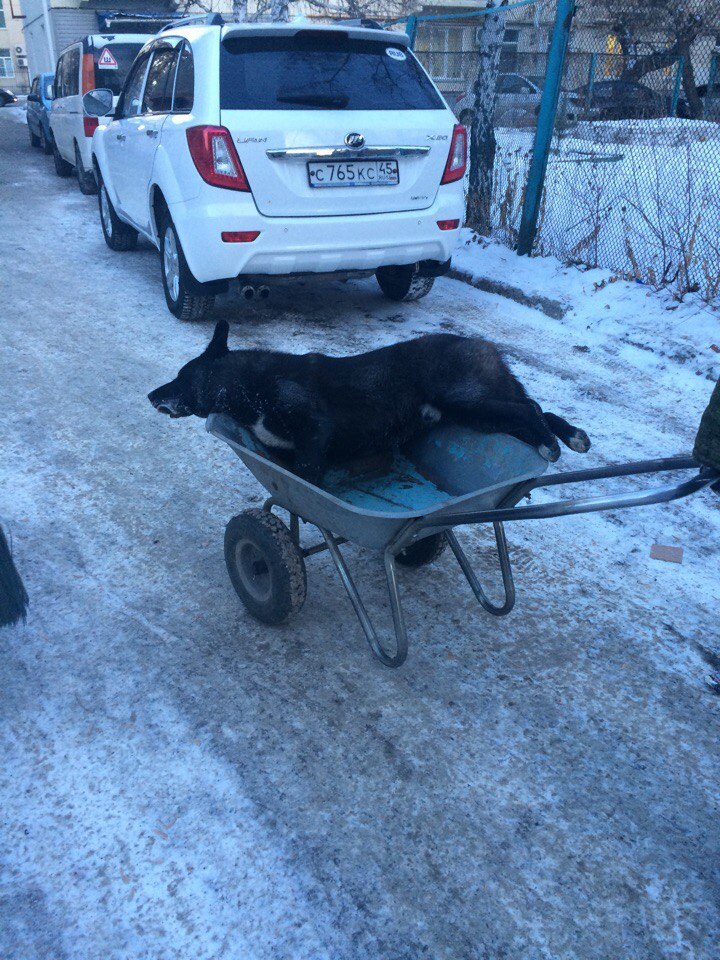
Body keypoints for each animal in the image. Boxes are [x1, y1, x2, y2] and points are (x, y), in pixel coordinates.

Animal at [148, 322, 592, 484]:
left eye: (181, 377)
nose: (151, 395)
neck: (248, 385)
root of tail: (483, 345)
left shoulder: (314, 428)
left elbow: (308, 475)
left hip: (470, 403)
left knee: (529, 410)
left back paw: (552, 444)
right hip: (478, 411)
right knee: (537, 409)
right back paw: (571, 436)